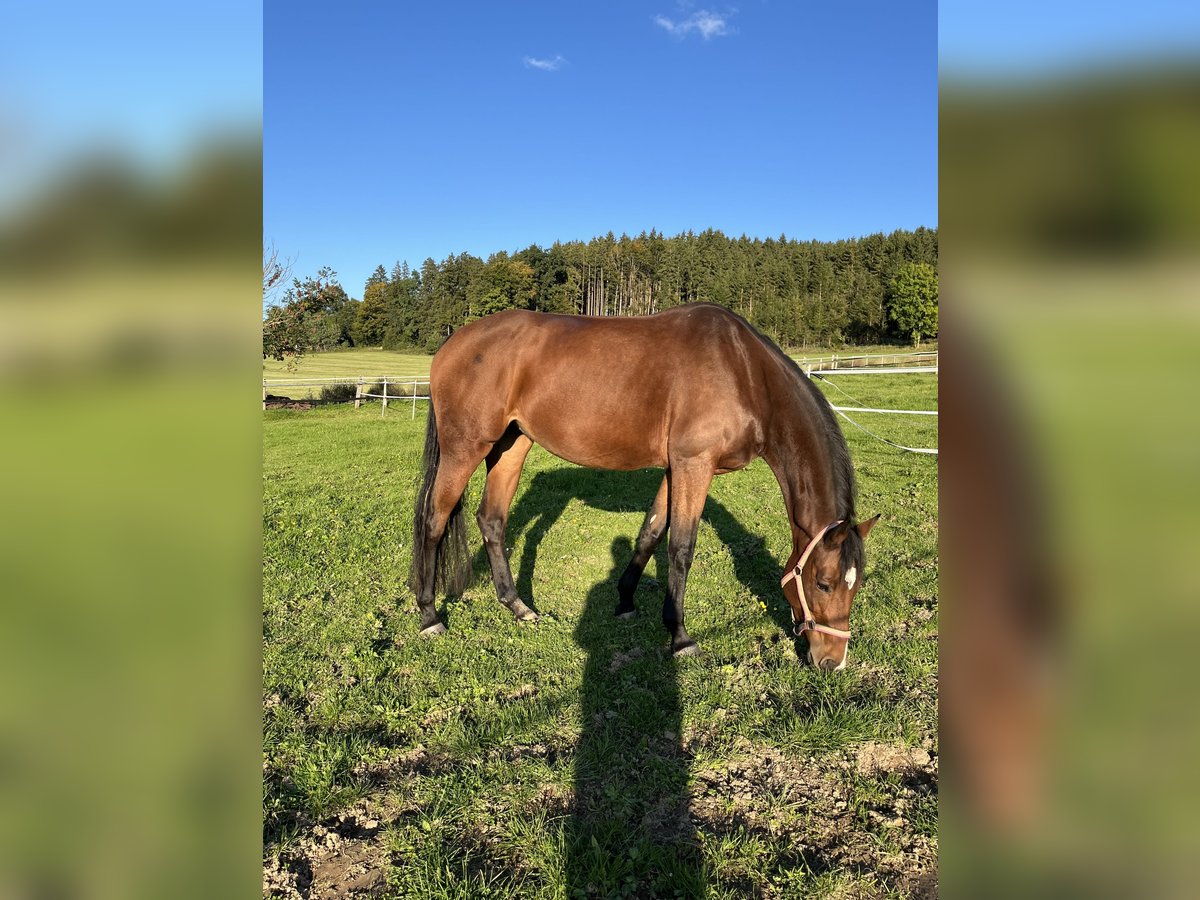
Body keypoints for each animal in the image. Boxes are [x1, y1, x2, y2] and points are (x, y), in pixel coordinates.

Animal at [407, 303, 878, 669]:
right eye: (824, 583)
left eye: (857, 584)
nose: (833, 661)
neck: (744, 372)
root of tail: (451, 345)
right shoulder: (694, 465)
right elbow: (681, 548)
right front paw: (681, 637)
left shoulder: (676, 468)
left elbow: (650, 533)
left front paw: (625, 602)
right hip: (466, 446)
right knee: (434, 519)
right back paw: (429, 616)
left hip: (512, 445)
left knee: (492, 520)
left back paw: (517, 606)